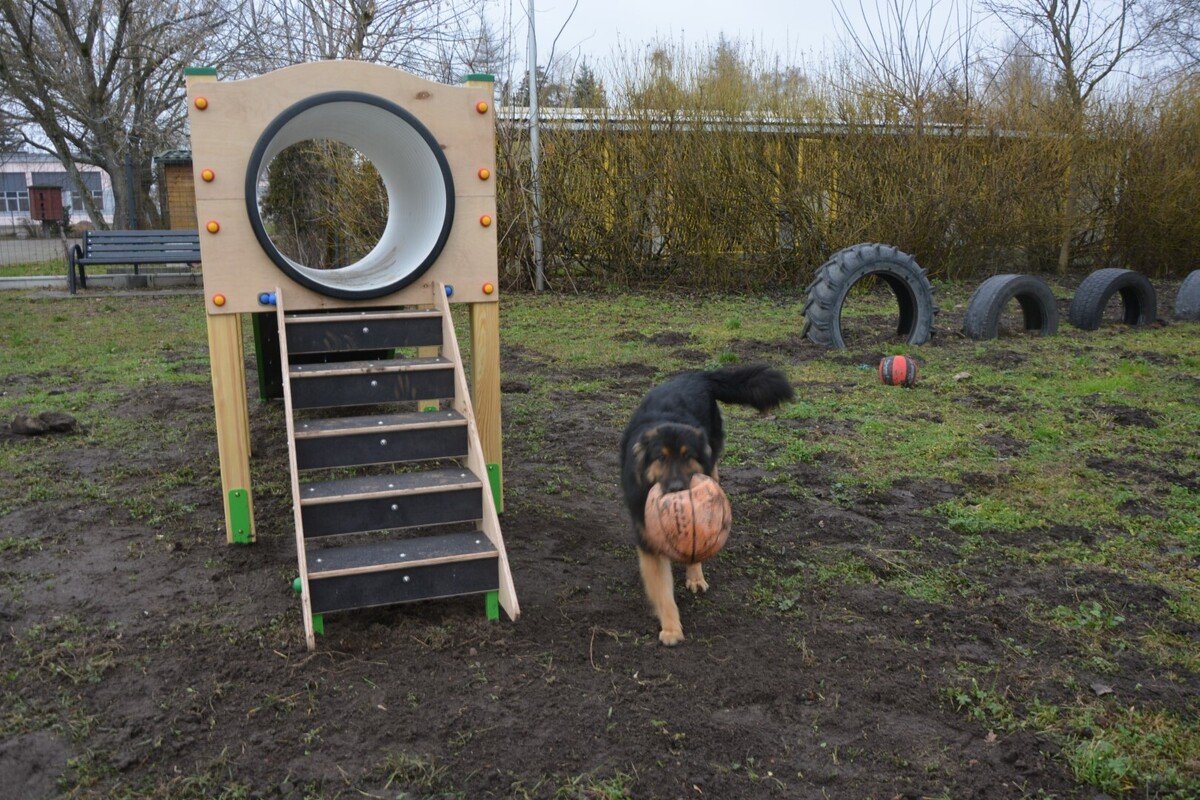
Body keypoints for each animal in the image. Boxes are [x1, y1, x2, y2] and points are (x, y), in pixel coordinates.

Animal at [619, 367, 796, 647]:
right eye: (661, 458)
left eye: (686, 456)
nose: (678, 488)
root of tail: (698, 375)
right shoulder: (647, 539)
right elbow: (662, 590)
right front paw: (671, 628)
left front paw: (694, 577)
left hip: (712, 466)